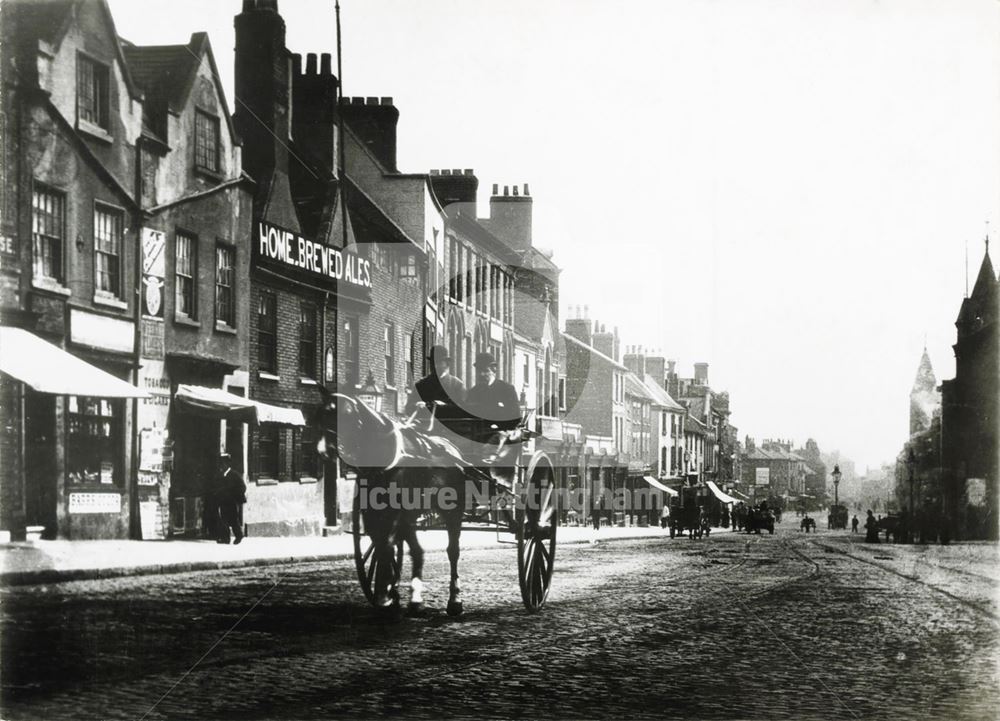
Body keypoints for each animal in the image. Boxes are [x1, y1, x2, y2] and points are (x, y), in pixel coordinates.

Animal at [314, 390, 556, 616]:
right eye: (320, 413)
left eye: (343, 415)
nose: (323, 452)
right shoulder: (377, 513)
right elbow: (384, 546)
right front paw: (389, 593)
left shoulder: (402, 513)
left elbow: (399, 547)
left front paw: (400, 596)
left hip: (453, 511)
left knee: (454, 551)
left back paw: (455, 600)